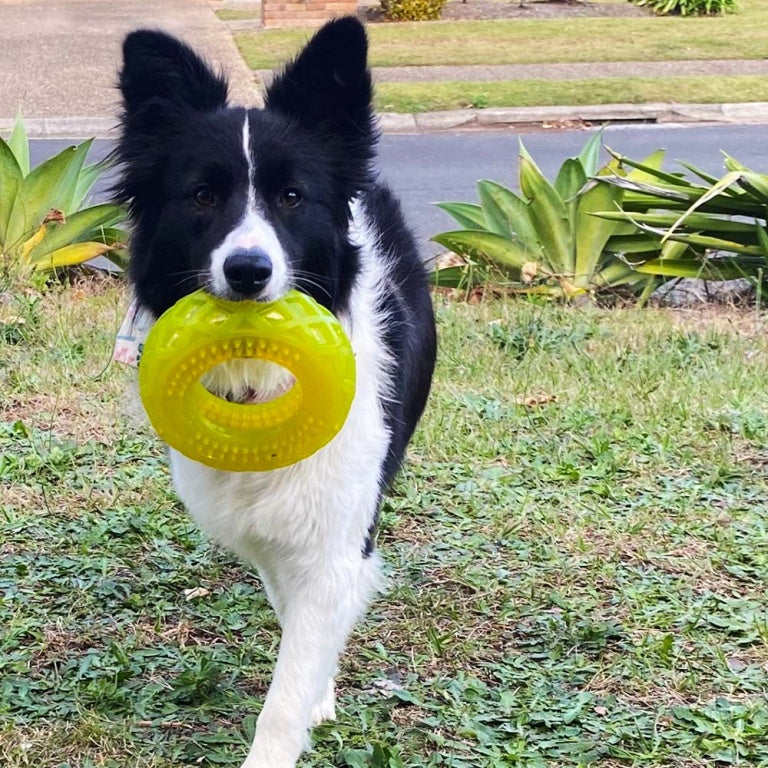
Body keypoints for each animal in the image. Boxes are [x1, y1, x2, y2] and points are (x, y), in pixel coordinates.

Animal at [114, 13, 438, 768]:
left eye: (292, 196)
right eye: (203, 195)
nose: (248, 270)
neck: (257, 392)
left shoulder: (338, 528)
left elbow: (291, 681)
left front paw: (302, 702)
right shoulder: (266, 534)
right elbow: (294, 618)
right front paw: (318, 682)